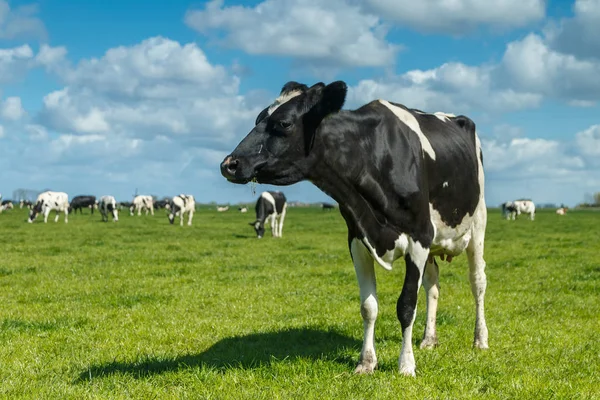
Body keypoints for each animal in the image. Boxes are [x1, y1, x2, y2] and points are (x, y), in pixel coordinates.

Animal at [220, 79, 488, 376]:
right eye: (258, 119)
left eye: (284, 123)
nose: (229, 164)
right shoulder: (358, 239)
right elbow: (368, 306)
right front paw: (366, 362)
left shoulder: (419, 237)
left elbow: (407, 304)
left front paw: (406, 365)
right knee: (432, 284)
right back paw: (429, 339)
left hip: (478, 223)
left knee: (477, 282)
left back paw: (480, 339)